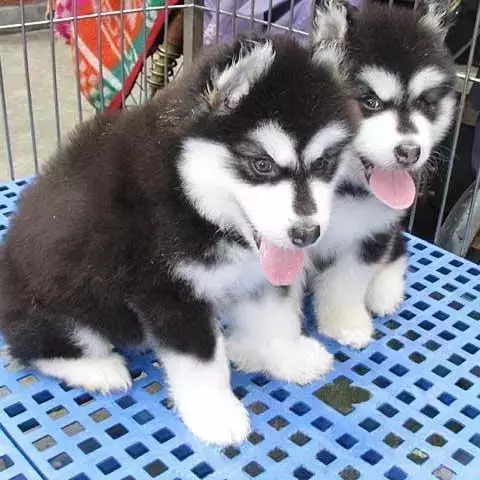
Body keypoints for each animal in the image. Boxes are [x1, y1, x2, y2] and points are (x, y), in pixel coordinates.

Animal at [0, 34, 357, 444]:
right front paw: (216, 413)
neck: (189, 197)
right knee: (37, 346)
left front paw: (288, 356)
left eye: (323, 164)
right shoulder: (167, 291)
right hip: (59, 308)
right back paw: (99, 368)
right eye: (261, 164)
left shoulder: (257, 273)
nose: (306, 233)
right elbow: (203, 361)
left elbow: (276, 317)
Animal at [308, 0, 457, 348]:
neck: (341, 190)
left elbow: (348, 281)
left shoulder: (371, 234)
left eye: (425, 102)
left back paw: (384, 292)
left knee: (397, 251)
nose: (410, 151)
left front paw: (344, 323)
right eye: (370, 101)